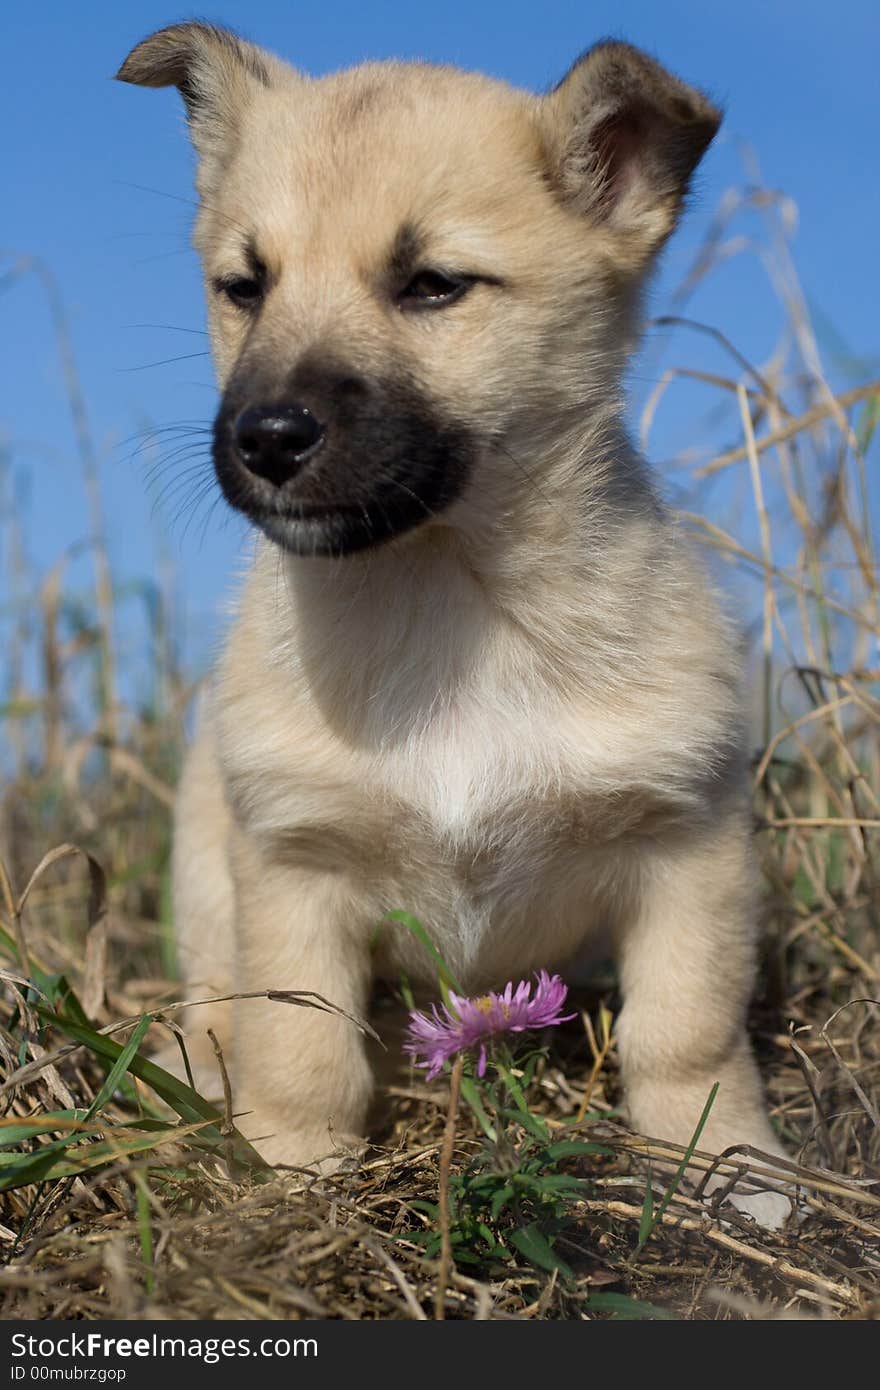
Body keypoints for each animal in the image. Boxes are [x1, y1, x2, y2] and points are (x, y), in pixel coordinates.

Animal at [114, 24, 789, 1228]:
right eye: (245, 286)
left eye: (432, 285)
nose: (265, 436)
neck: (450, 601)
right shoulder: (293, 866)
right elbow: (301, 1052)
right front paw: (293, 1171)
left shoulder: (691, 845)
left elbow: (687, 1035)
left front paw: (726, 1164)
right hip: (202, 848)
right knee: (218, 1000)